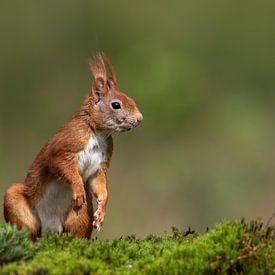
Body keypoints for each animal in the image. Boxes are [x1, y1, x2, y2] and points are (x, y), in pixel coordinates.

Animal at [3, 52, 142, 240]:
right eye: (116, 105)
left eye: (131, 99)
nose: (140, 118)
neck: (98, 133)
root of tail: (50, 228)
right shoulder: (65, 145)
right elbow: (62, 166)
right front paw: (77, 188)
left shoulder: (100, 165)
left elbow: (100, 185)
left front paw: (102, 212)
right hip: (16, 203)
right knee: (26, 232)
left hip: (81, 215)